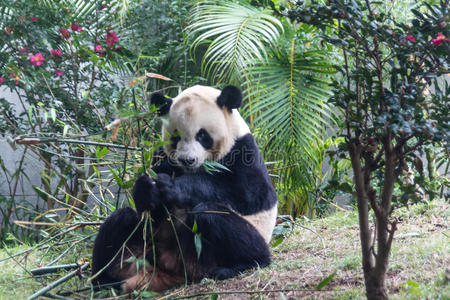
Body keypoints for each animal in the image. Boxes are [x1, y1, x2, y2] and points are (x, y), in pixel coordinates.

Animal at [91, 85, 278, 292]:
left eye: (202, 135)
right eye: (176, 137)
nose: (187, 160)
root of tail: (176, 268)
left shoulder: (244, 150)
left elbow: (249, 194)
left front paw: (174, 187)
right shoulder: (161, 155)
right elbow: (149, 206)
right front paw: (147, 189)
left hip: (235, 240)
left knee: (212, 217)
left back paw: (243, 264)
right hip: (146, 243)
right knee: (121, 221)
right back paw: (104, 280)